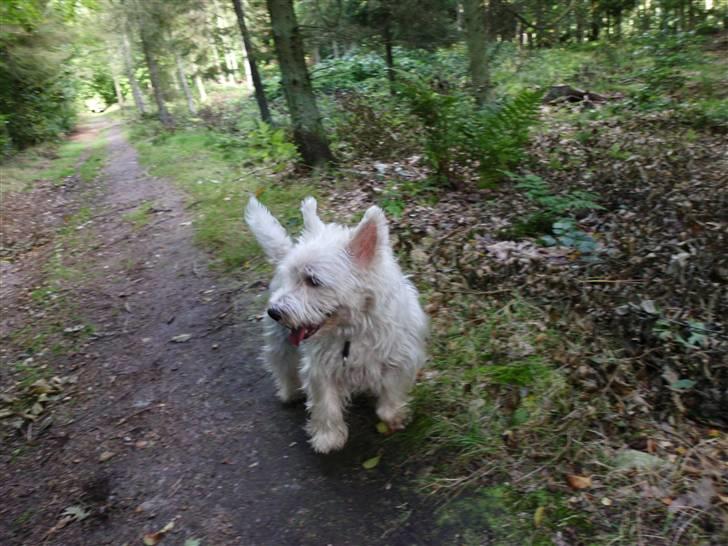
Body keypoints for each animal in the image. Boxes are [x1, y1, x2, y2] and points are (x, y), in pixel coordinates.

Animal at [246, 196, 426, 450]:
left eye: (313, 280)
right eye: (291, 276)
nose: (274, 312)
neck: (353, 329)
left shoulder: (400, 358)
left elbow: (391, 391)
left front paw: (394, 416)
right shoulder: (321, 368)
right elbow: (326, 403)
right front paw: (327, 437)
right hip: (279, 341)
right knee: (282, 365)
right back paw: (290, 392)